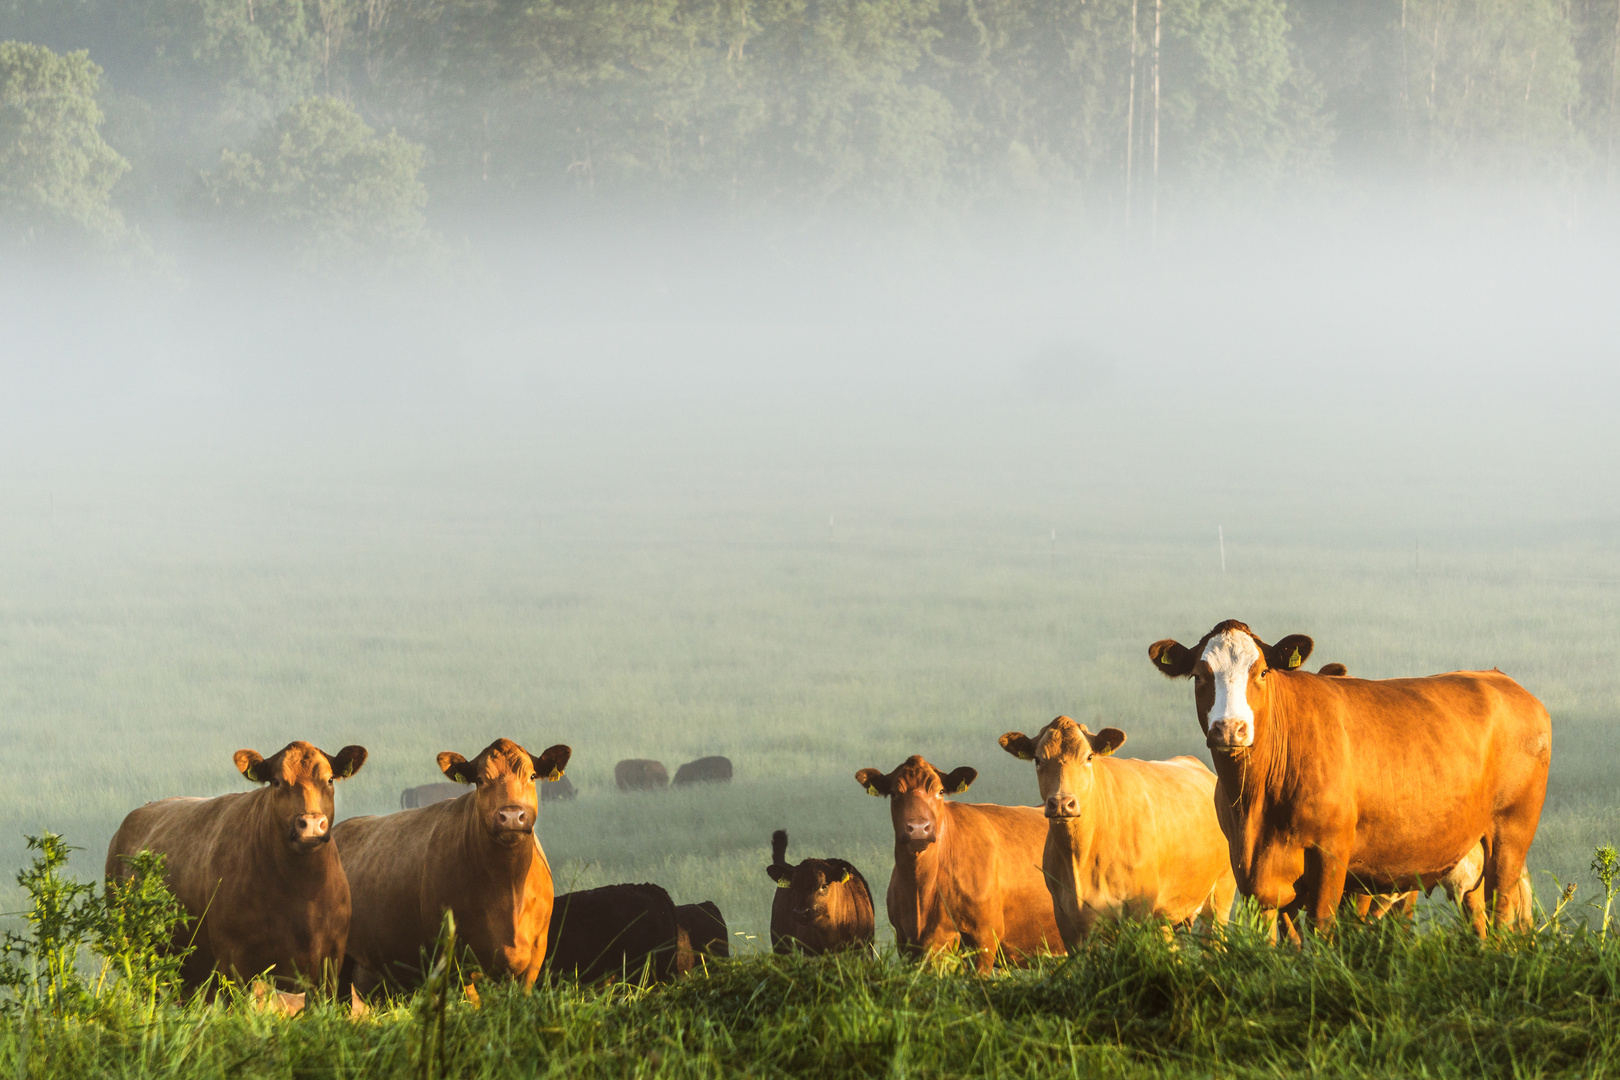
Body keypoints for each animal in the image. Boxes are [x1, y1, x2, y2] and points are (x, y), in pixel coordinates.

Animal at [104, 744, 367, 997]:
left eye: (330, 779)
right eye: (276, 781)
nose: (310, 824)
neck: (301, 894)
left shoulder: (330, 966)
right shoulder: (234, 962)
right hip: (139, 957)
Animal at [848, 751, 1062, 971]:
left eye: (941, 791)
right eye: (893, 793)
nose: (918, 828)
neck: (921, 892)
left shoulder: (984, 937)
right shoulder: (906, 940)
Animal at [991, 722, 1231, 952]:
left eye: (1089, 757)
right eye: (1038, 759)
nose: (1061, 802)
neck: (1080, 859)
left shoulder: (1138, 910)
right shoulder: (1066, 920)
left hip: (1220, 894)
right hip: (1168, 916)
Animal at [1146, 621, 1548, 939]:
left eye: (1261, 672)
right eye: (1200, 676)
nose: (1230, 729)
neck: (1255, 804)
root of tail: (1499, 679)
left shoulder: (1331, 855)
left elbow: (1322, 928)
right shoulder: (1253, 873)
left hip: (1510, 836)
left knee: (1501, 909)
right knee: (1479, 918)